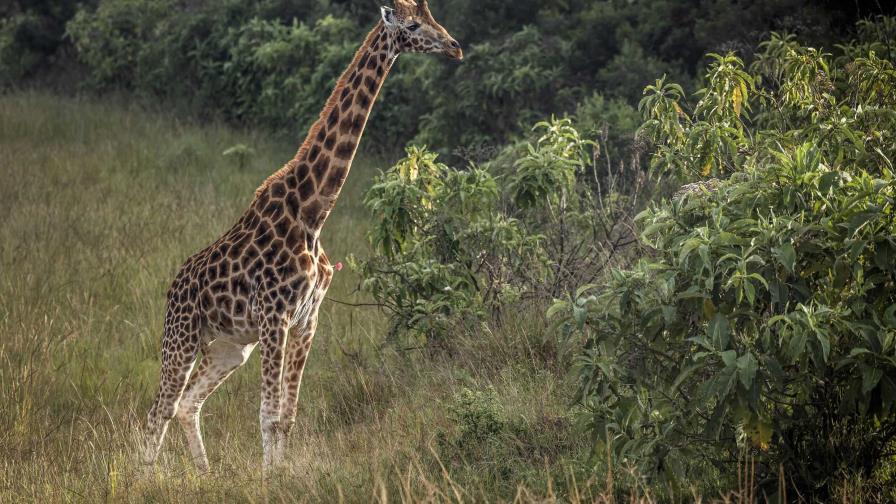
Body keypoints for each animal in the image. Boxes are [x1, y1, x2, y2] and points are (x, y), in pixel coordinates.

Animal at [142, 0, 462, 472]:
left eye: (433, 16)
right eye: (413, 25)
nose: (455, 47)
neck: (313, 213)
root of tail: (173, 286)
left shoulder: (307, 319)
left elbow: (286, 416)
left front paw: (278, 473)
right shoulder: (274, 316)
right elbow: (268, 413)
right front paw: (267, 478)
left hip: (229, 347)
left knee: (186, 405)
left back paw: (204, 474)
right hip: (182, 336)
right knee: (158, 410)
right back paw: (141, 478)